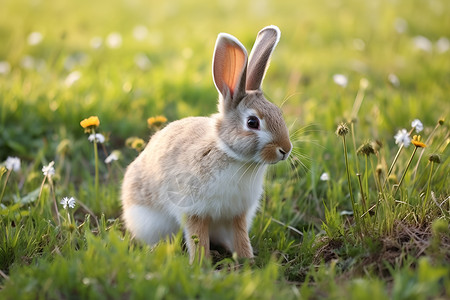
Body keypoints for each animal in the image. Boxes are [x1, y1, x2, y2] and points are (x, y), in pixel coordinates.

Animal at [121, 24, 292, 262]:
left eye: (279, 113)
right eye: (252, 122)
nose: (285, 149)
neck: (232, 156)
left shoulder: (237, 213)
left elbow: (240, 235)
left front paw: (247, 259)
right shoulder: (194, 210)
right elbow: (197, 237)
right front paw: (201, 263)